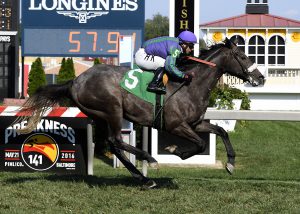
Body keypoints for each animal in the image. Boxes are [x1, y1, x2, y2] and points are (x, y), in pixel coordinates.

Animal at [16, 37, 264, 188]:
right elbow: (200, 144)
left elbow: (221, 131)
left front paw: (230, 163)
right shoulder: (176, 125)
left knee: (112, 144)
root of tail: (75, 81)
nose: (260, 77)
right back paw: (149, 161)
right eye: (243, 57)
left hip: (99, 115)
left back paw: (143, 178)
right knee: (116, 141)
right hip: (113, 110)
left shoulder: (195, 123)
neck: (190, 84)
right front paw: (174, 151)